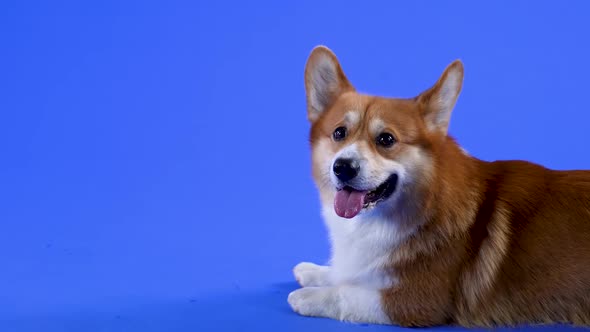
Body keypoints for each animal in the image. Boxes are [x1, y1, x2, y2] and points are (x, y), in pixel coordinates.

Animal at [290, 46, 590, 326]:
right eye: (339, 133)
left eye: (386, 139)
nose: (343, 167)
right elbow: (347, 274)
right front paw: (314, 271)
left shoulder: (415, 301)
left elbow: (347, 293)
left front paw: (308, 296)